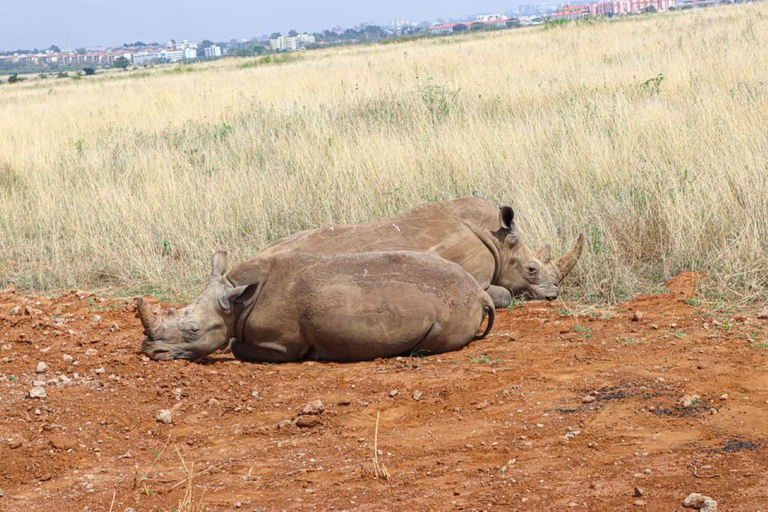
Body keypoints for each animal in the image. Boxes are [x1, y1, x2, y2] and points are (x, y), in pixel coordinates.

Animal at [139, 250, 496, 362]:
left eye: (193, 331)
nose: (150, 351)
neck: (237, 302)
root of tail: (480, 294)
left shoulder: (280, 345)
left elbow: (239, 346)